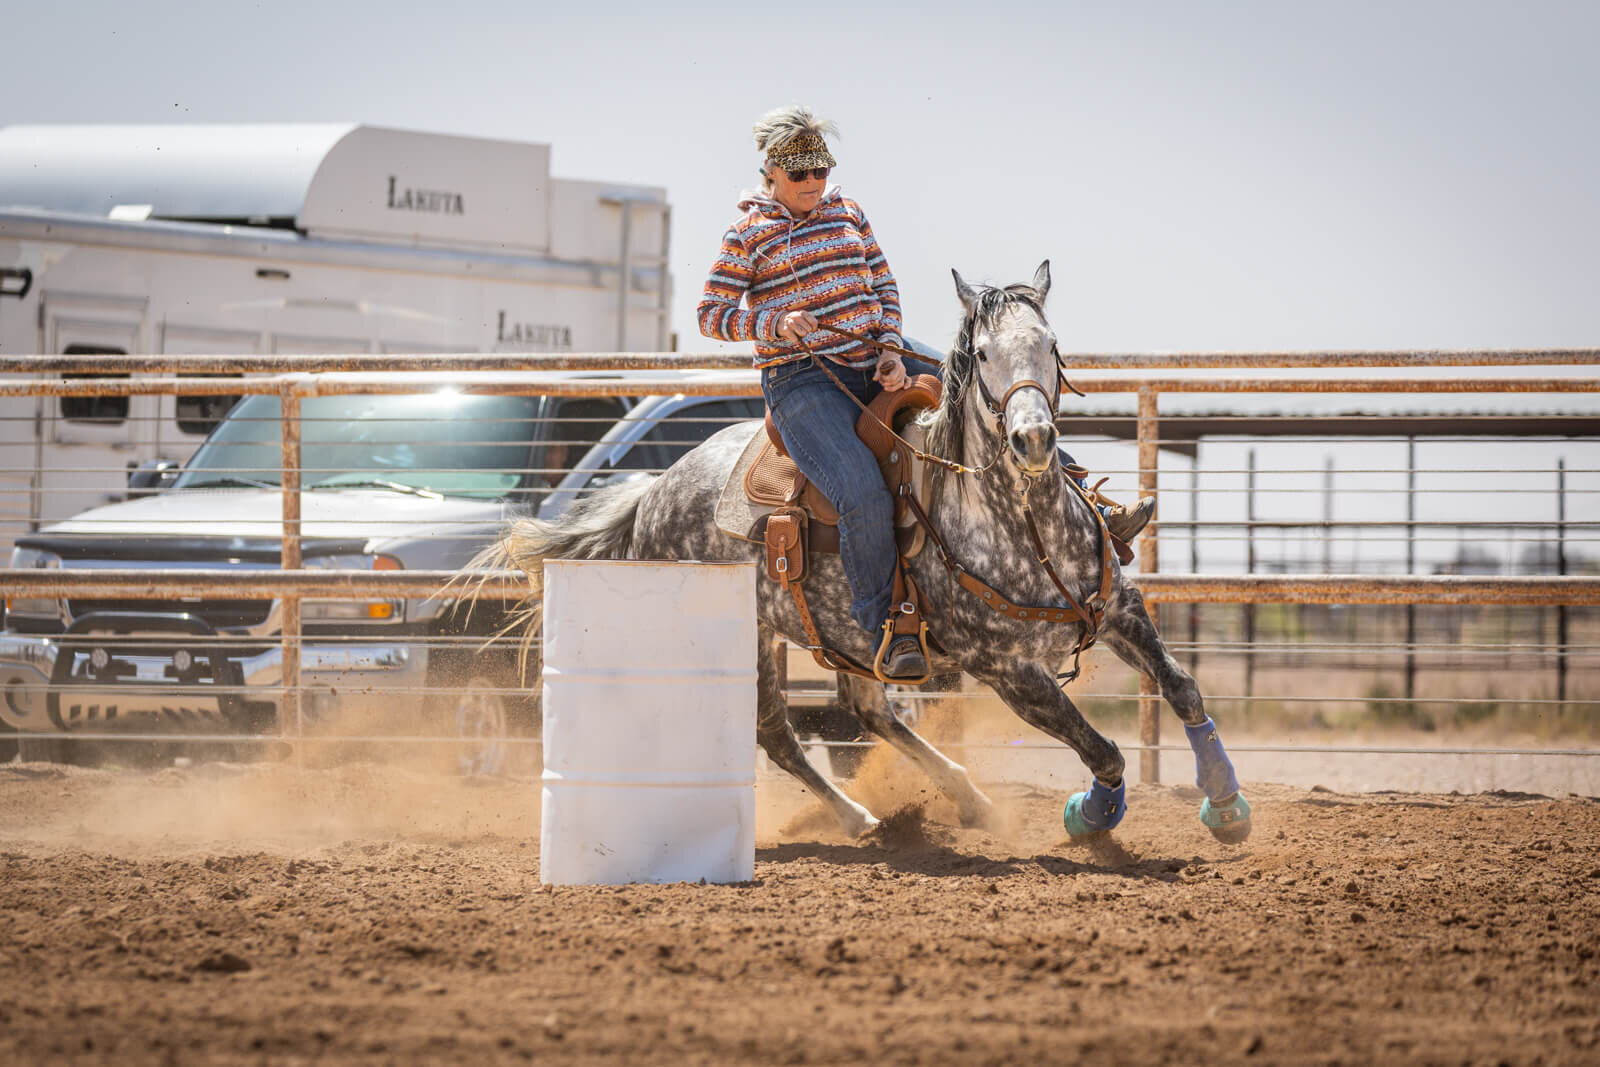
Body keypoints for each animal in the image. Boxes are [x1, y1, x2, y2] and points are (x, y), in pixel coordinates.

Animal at [473, 265, 1248, 844]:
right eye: (985, 355)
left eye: (1053, 347)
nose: (1033, 441)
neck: (1021, 529)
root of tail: (655, 491)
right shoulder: (1004, 669)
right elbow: (1103, 749)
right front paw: (1092, 815)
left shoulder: (1118, 608)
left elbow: (1183, 688)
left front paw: (1225, 802)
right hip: (749, 637)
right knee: (779, 734)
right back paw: (858, 817)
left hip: (853, 637)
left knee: (868, 709)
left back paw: (970, 800)